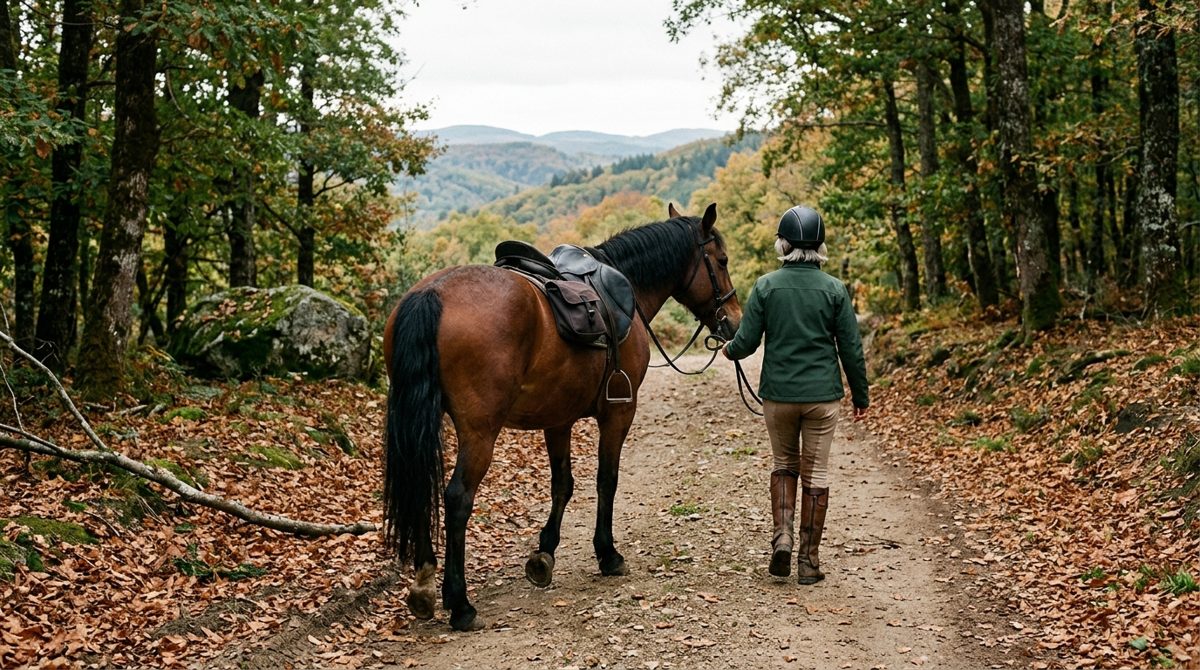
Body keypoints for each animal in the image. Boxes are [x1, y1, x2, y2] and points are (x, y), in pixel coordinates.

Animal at [382, 203, 741, 631]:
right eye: (721, 261)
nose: (734, 320)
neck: (626, 292)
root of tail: (431, 293)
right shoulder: (619, 412)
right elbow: (606, 480)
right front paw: (608, 554)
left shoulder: (558, 419)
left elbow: (563, 486)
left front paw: (544, 555)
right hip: (479, 432)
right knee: (457, 499)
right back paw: (460, 603)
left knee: (421, 487)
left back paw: (423, 586)